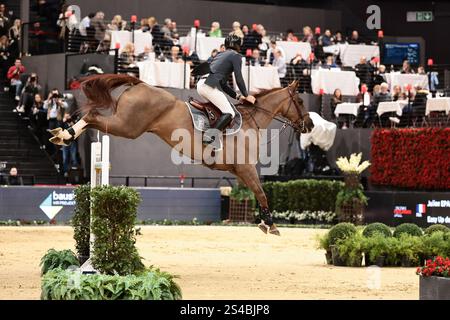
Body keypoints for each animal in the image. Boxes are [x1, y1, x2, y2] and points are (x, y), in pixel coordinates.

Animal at [49, 74, 312, 235]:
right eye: (300, 101)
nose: (309, 125)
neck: (251, 121)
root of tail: (140, 84)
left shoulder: (237, 171)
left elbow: (256, 193)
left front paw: (264, 221)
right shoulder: (246, 168)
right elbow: (262, 193)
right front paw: (270, 224)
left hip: (126, 124)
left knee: (93, 116)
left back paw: (62, 135)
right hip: (127, 126)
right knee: (93, 116)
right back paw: (64, 134)